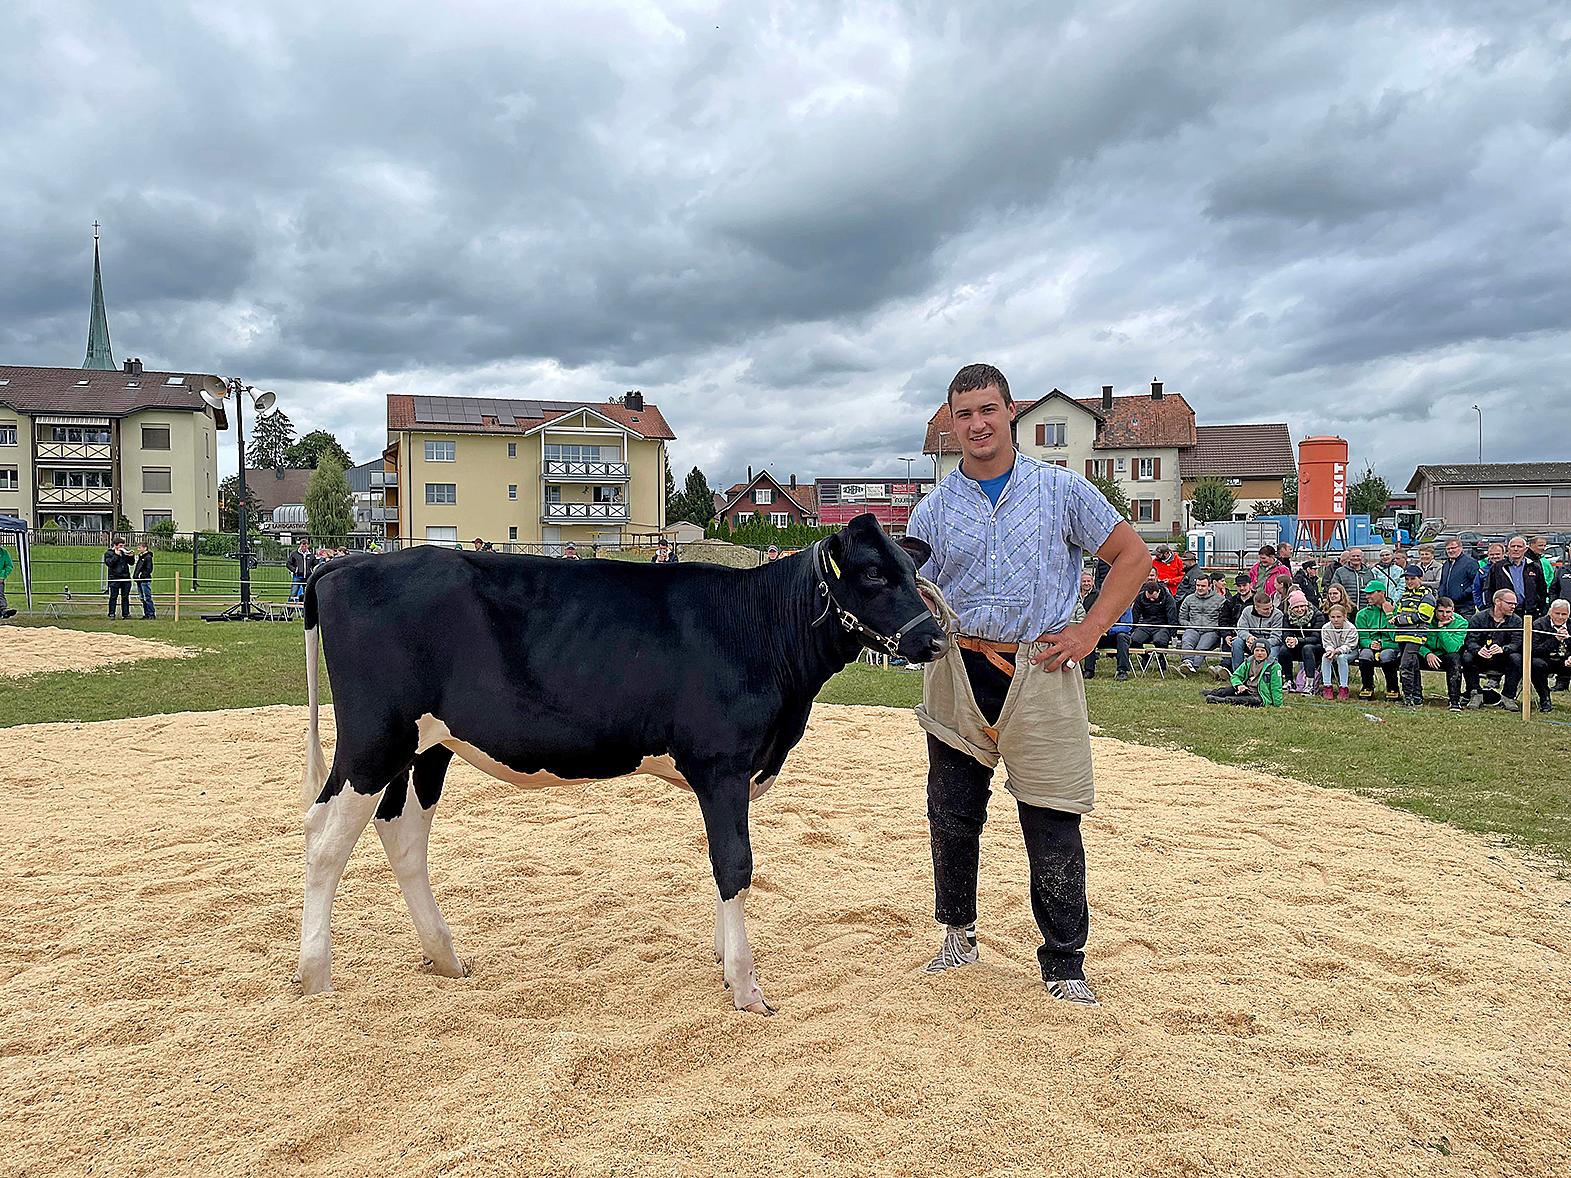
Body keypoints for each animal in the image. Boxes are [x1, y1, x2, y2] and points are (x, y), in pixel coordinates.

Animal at [292, 515, 942, 1017]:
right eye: (875, 573)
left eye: (912, 572)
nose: (936, 641)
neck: (757, 629)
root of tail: (347, 564)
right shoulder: (723, 765)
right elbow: (735, 864)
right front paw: (745, 985)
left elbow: (720, 864)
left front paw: (722, 957)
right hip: (374, 740)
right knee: (325, 839)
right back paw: (315, 975)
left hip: (427, 745)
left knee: (398, 832)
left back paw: (445, 957)